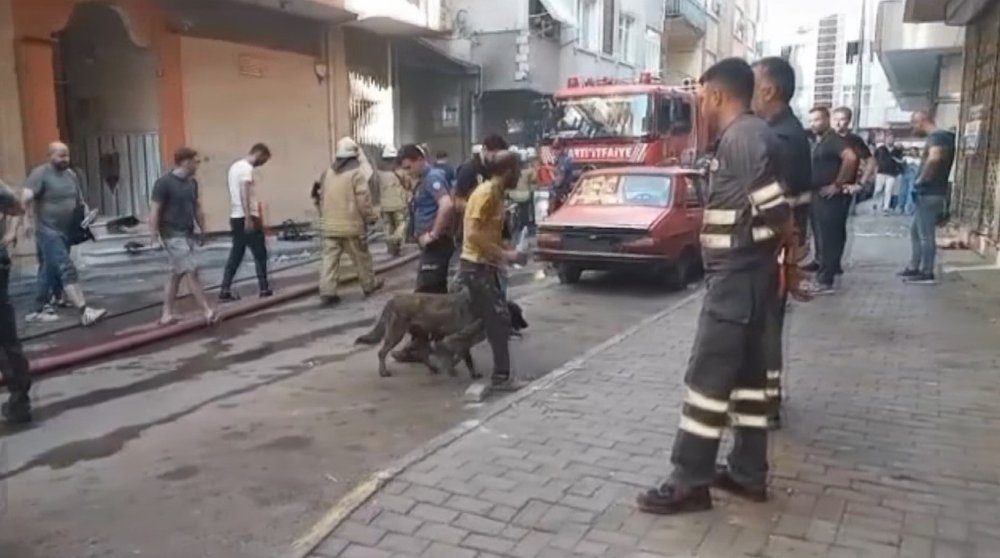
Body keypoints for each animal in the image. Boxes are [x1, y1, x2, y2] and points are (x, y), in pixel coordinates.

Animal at [356, 288, 484, 380]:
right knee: (381, 353)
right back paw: (383, 372)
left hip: (421, 334)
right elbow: (467, 360)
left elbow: (457, 357)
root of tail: (393, 300)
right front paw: (471, 374)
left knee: (423, 354)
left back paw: (432, 369)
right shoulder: (463, 338)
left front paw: (452, 369)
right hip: (396, 335)